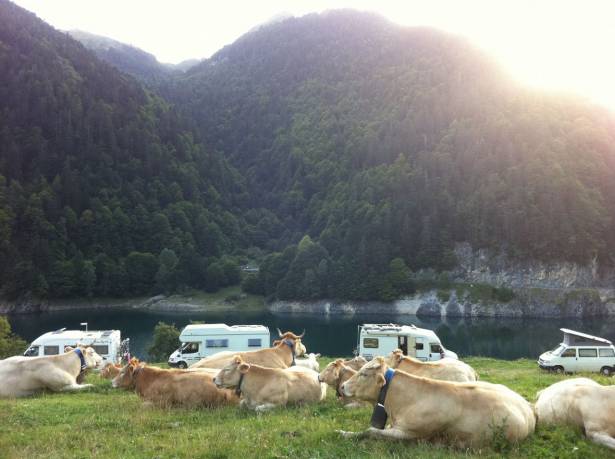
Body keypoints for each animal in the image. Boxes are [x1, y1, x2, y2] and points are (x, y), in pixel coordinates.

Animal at [336, 358, 536, 448]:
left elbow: (371, 431)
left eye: (364, 374)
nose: (343, 386)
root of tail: (527, 406)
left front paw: (344, 434)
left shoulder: (411, 434)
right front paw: (344, 432)